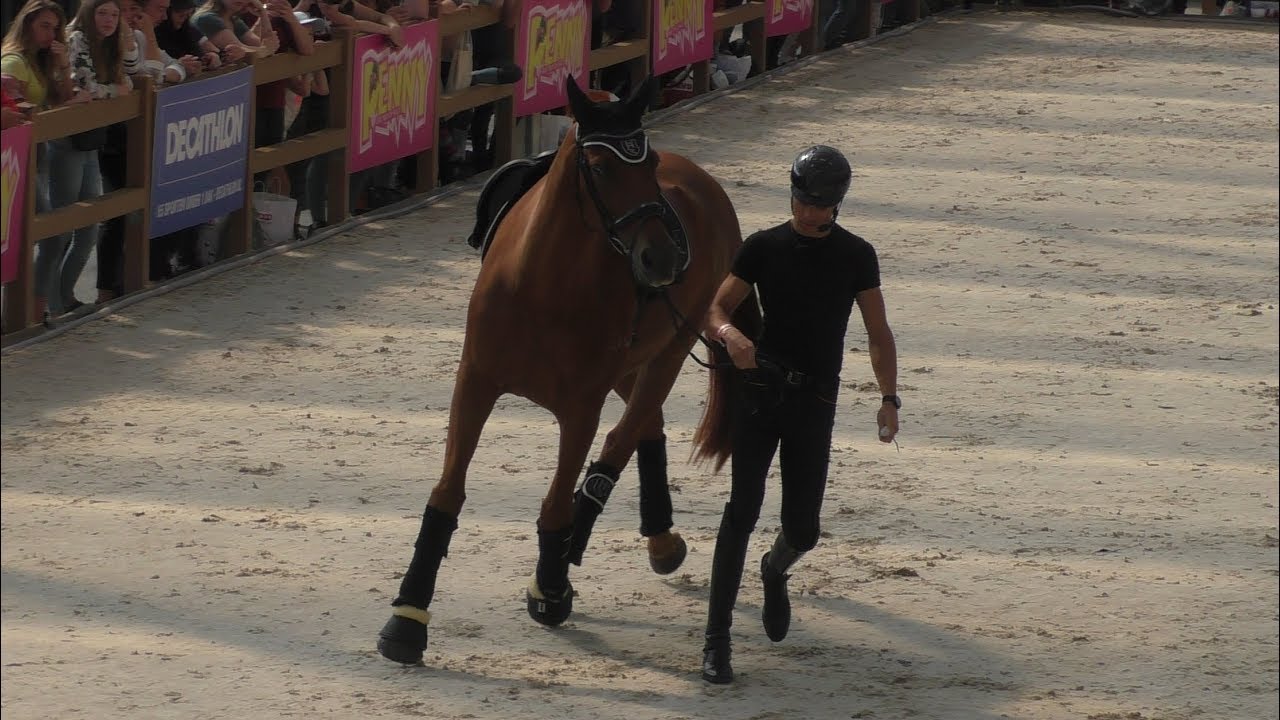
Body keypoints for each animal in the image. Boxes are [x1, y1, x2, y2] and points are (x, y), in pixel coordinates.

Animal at [377, 76, 761, 665]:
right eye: (599, 169)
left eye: (649, 166)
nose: (663, 260)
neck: (543, 285)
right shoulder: (476, 383)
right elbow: (447, 494)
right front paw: (407, 617)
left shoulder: (581, 407)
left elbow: (558, 503)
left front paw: (550, 588)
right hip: (632, 364)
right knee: (644, 427)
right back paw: (659, 537)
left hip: (667, 354)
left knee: (624, 439)